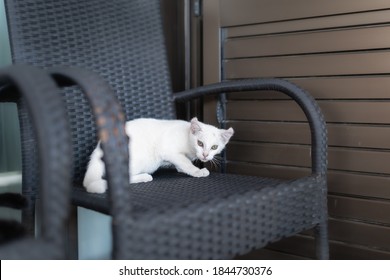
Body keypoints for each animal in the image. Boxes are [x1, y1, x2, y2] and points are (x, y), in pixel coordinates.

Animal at [83, 117, 235, 194]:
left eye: (214, 147)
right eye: (200, 143)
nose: (205, 155)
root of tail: (99, 150)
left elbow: (182, 162)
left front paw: (182, 168)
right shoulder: (168, 149)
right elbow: (185, 162)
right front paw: (197, 171)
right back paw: (144, 176)